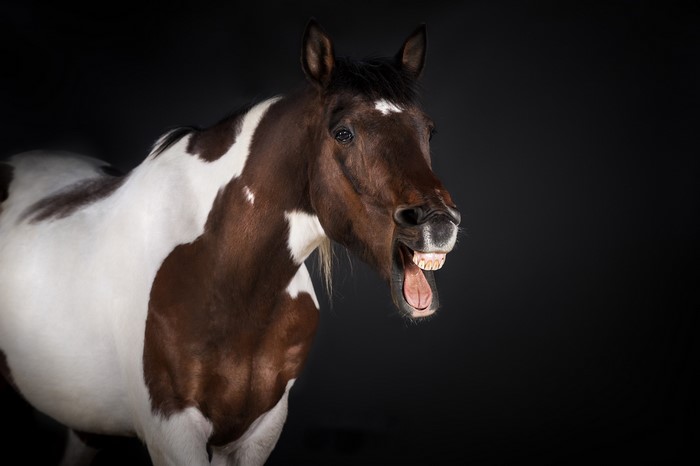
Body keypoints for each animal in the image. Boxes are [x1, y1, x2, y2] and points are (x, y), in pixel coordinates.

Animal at [0, 19, 460, 466]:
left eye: (429, 131)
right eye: (343, 133)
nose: (438, 223)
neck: (224, 277)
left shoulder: (257, 430)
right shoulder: (172, 432)